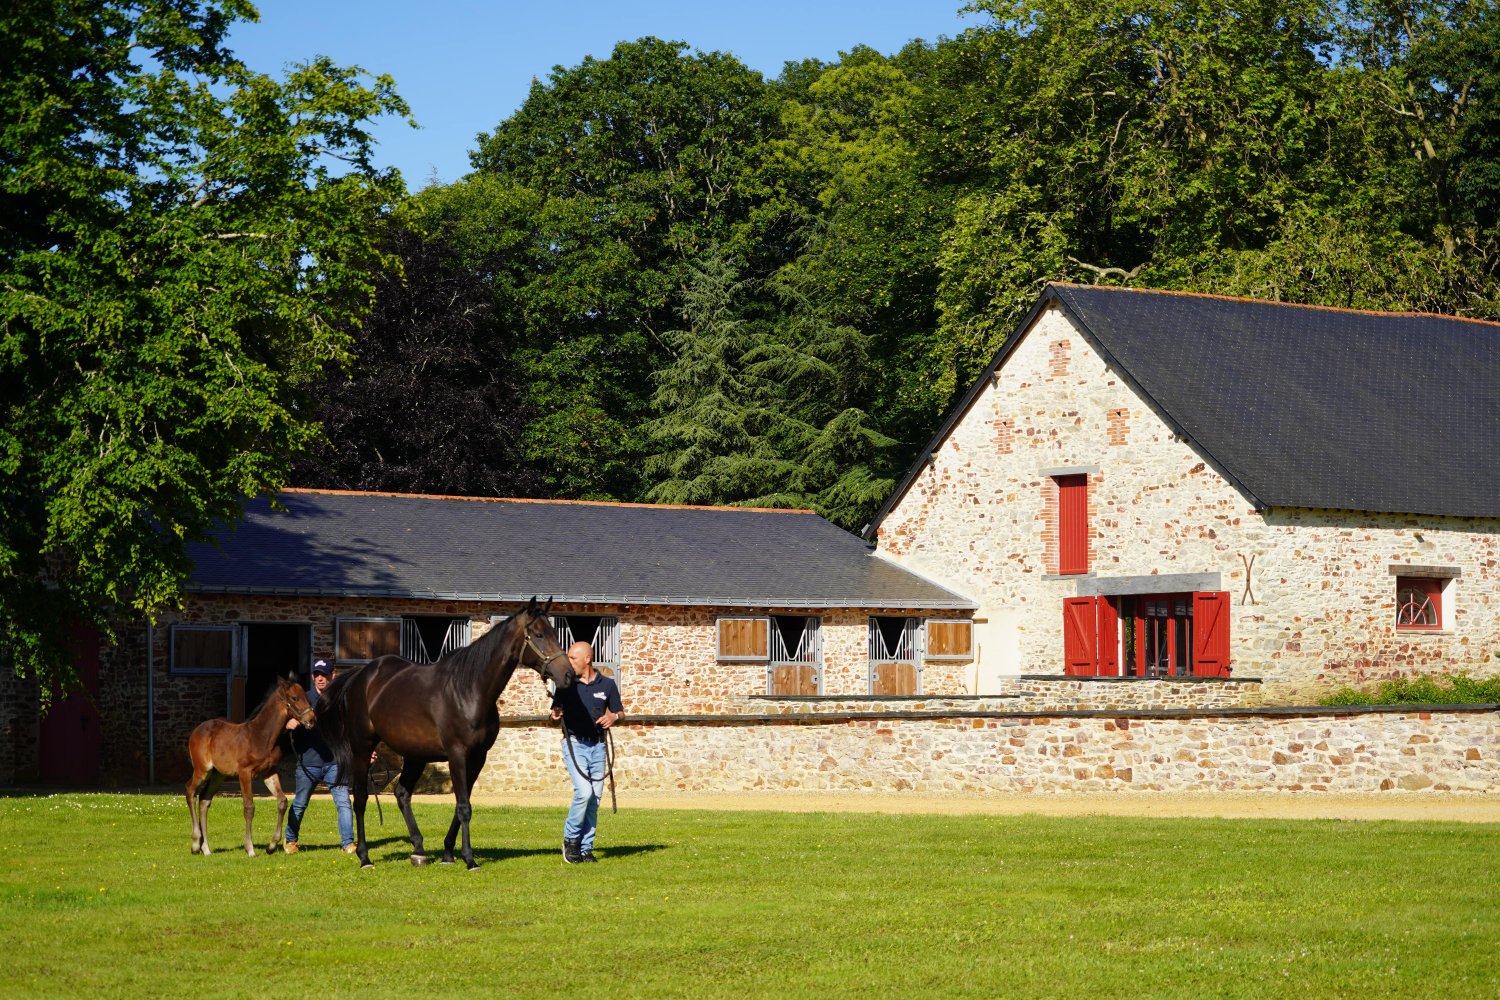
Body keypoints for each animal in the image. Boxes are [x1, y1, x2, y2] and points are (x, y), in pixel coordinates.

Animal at [185, 674, 317, 856]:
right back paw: (196, 843)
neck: (261, 737)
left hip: (218, 775)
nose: (311, 719)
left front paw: (271, 846)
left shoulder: (269, 772)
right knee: (190, 791)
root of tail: (197, 730)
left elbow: (282, 801)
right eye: (294, 698)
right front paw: (250, 848)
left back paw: (206, 848)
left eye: (306, 696)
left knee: (204, 800)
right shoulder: (245, 773)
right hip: (202, 770)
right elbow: (249, 807)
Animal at [316, 597, 575, 870]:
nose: (568, 674)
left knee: (402, 794)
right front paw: (470, 859)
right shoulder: (457, 754)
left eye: (554, 633)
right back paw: (364, 856)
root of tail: (361, 675)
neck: (469, 690)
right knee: (361, 798)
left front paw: (448, 853)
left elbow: (462, 804)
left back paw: (418, 850)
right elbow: (463, 806)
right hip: (362, 748)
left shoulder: (478, 757)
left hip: (415, 755)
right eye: (538, 634)